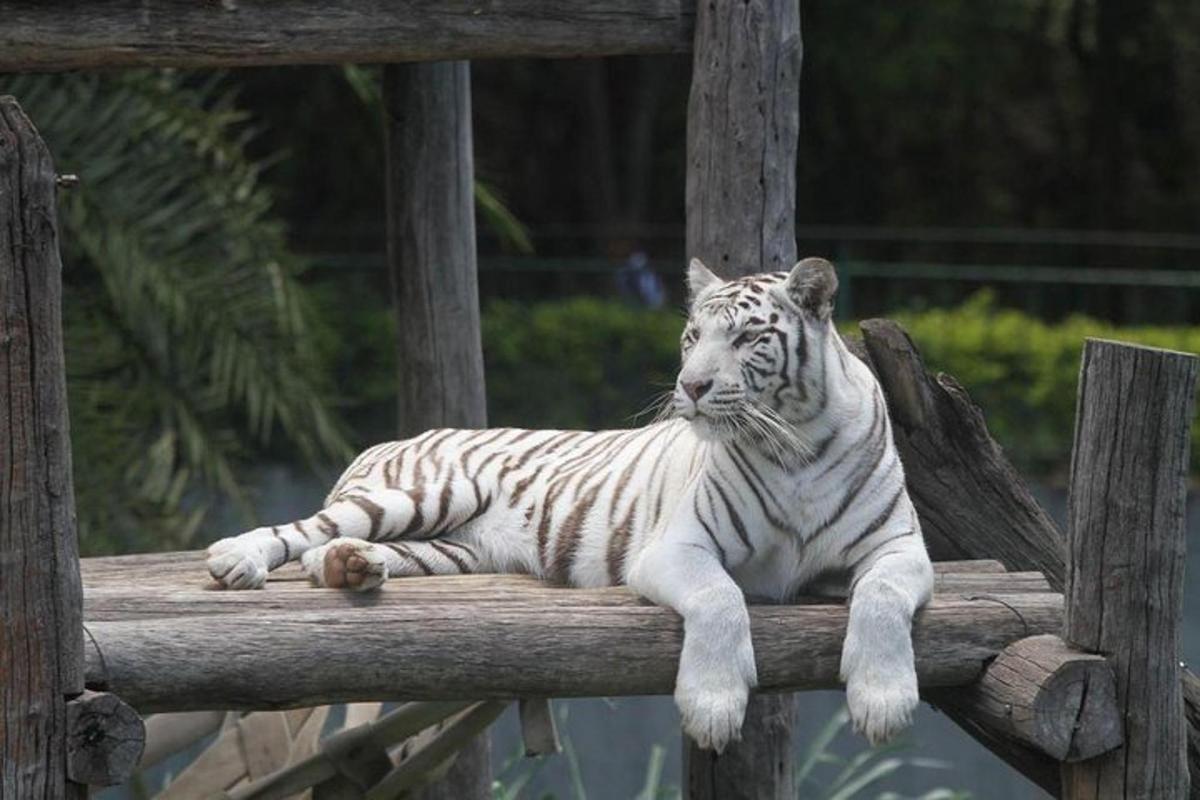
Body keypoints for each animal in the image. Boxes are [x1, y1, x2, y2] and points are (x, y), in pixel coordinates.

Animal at [206, 256, 936, 753]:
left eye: (748, 338)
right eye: (691, 337)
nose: (690, 386)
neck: (795, 446)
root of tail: (390, 437)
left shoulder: (901, 550)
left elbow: (880, 598)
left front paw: (883, 703)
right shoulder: (677, 547)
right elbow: (721, 598)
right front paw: (712, 708)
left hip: (451, 551)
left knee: (329, 553)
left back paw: (354, 568)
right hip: (428, 493)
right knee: (301, 530)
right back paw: (236, 560)